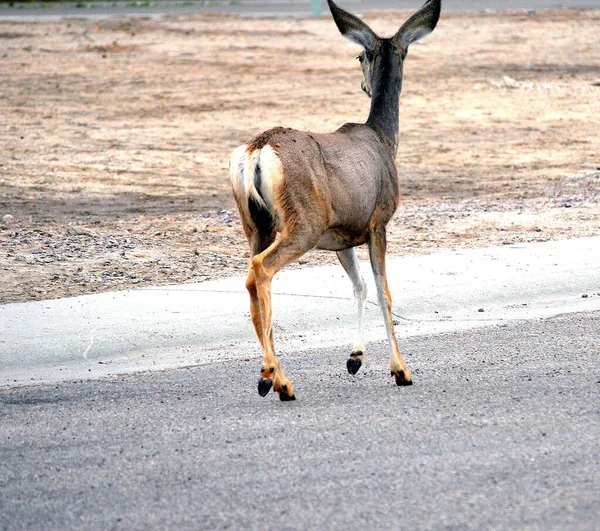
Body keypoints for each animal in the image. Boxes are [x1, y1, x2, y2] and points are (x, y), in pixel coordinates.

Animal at [229, 0, 440, 400]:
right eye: (360, 55)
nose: (362, 85)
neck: (384, 139)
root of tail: (257, 150)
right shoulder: (377, 221)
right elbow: (383, 290)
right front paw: (400, 369)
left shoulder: (342, 235)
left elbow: (360, 286)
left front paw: (355, 357)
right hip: (303, 221)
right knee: (262, 269)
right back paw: (275, 379)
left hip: (256, 224)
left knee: (250, 279)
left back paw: (273, 378)